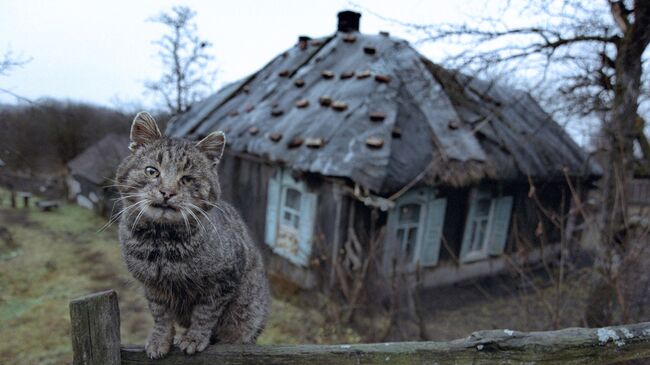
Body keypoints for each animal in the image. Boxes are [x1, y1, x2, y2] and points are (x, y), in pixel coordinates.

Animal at [116, 112, 268, 356]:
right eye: (152, 171)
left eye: (187, 179)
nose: (167, 192)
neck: (162, 242)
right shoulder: (152, 288)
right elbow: (161, 316)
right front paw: (160, 339)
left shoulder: (221, 284)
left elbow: (205, 315)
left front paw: (194, 338)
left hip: (246, 319)